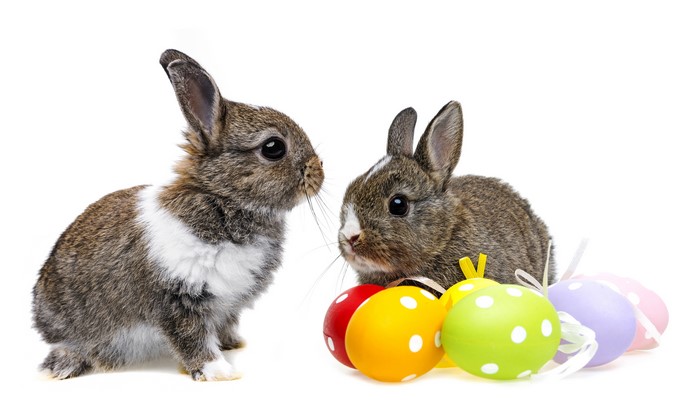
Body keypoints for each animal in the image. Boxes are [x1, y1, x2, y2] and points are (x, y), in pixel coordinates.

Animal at [32, 49, 324, 381]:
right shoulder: (178, 300)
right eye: (273, 147)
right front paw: (219, 372)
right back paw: (61, 366)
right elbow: (192, 338)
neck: (219, 198)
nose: (320, 172)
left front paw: (232, 345)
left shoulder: (226, 305)